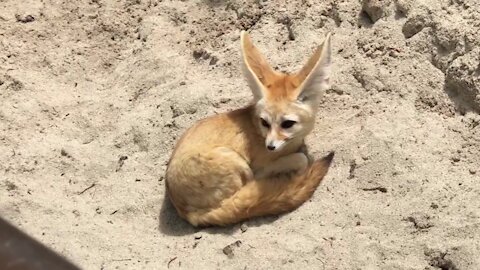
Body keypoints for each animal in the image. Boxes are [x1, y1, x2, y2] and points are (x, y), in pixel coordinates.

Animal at [165, 30, 334, 227]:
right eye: (265, 122)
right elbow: (302, 159)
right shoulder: (259, 166)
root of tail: (188, 214)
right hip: (236, 162)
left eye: (287, 124)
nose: (270, 147)